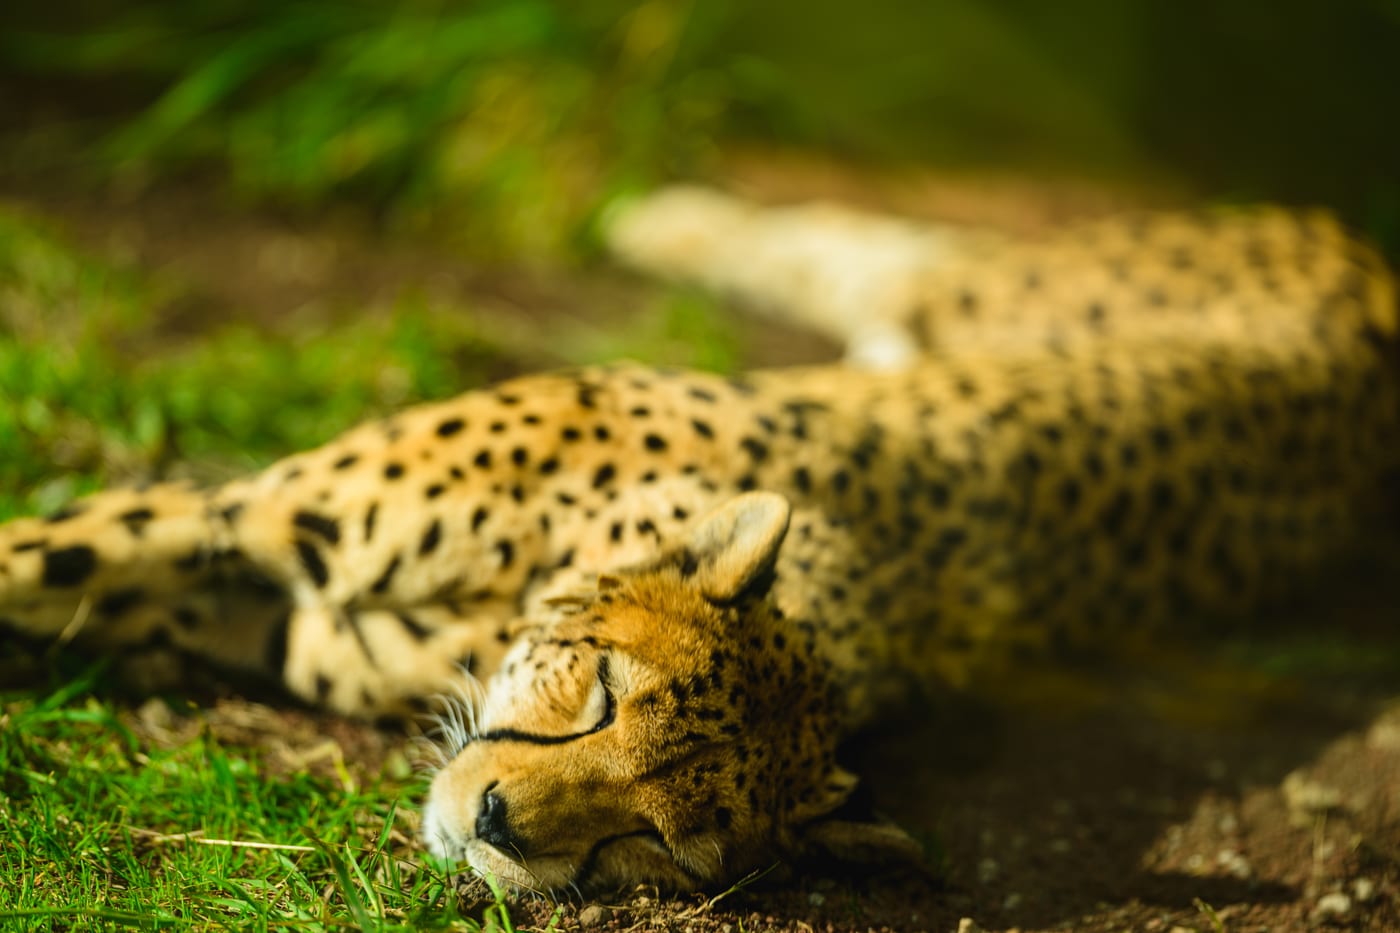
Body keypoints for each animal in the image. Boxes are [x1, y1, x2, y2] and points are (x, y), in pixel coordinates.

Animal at [1, 188, 1397, 894]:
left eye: (650, 841)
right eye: (604, 692)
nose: (495, 821)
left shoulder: (263, 599)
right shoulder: (254, 518)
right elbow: (37, 554)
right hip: (988, 289)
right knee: (878, 245)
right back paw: (647, 215)